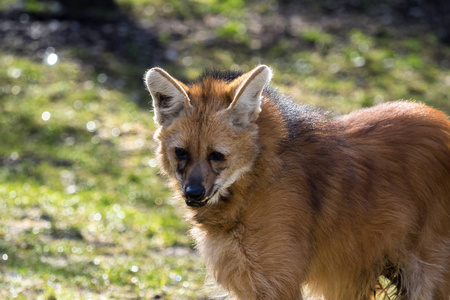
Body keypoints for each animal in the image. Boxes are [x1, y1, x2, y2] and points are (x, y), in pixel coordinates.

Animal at [145, 65, 450, 300]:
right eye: (181, 152)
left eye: (217, 155)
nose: (193, 193)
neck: (253, 180)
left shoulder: (276, 281)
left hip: (426, 273)